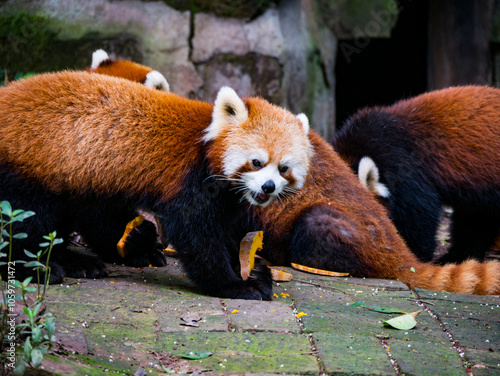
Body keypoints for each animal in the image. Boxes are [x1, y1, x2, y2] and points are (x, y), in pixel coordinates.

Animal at [0, 70, 312, 300]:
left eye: (283, 169)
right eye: (257, 162)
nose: (268, 187)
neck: (206, 144)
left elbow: (225, 233)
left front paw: (253, 269)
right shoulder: (190, 181)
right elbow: (195, 234)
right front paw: (232, 284)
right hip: (27, 170)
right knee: (24, 222)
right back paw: (38, 269)